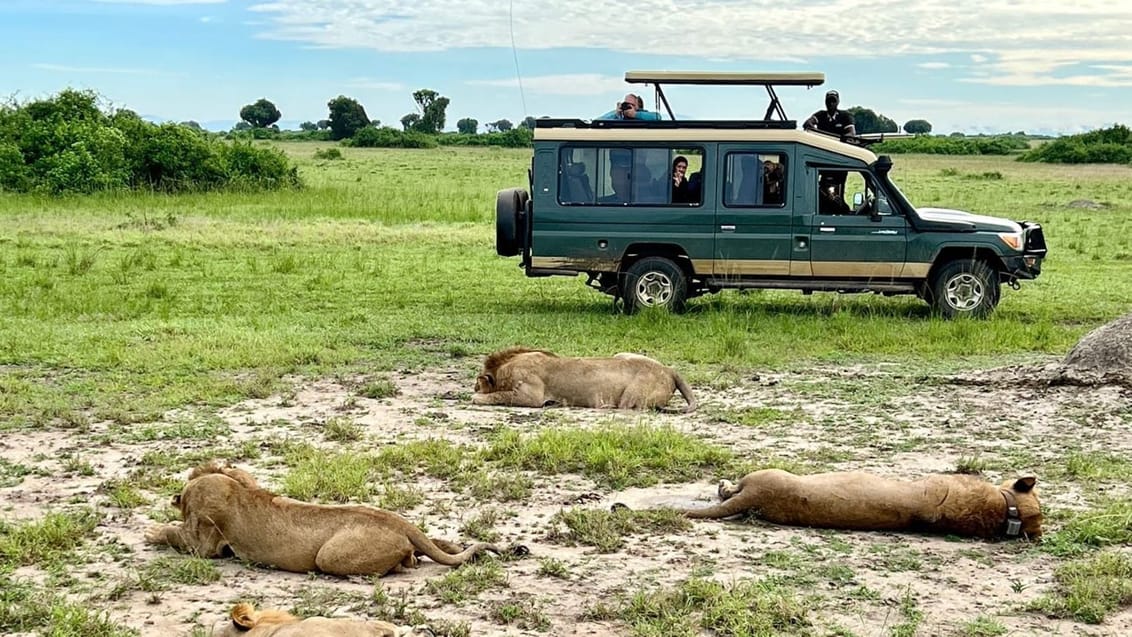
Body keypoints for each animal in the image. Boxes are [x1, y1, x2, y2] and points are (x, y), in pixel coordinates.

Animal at [146, 463, 509, 579]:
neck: (235, 485)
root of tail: (400, 523)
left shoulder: (205, 541)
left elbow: (178, 534)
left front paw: (152, 532)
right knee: (440, 543)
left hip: (330, 557)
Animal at [468, 348, 697, 414]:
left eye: (477, 383)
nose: (474, 385)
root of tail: (669, 369)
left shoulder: (531, 397)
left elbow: (496, 395)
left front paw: (476, 396)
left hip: (631, 398)